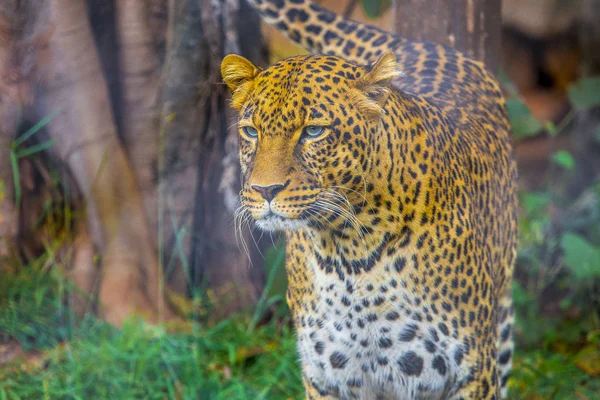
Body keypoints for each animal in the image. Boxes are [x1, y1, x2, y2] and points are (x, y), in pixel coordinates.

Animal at [221, 1, 520, 398]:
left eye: (313, 131)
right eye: (251, 132)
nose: (264, 190)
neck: (349, 252)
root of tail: (426, 46)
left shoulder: (471, 372)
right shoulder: (328, 377)